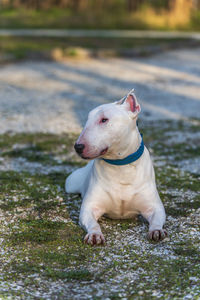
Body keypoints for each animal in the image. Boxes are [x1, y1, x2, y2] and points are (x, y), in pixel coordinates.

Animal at [65, 90, 167, 245]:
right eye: (87, 120)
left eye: (104, 120)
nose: (78, 147)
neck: (120, 165)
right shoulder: (89, 208)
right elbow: (92, 222)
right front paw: (94, 234)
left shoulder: (154, 206)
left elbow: (157, 218)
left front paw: (157, 231)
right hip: (70, 183)